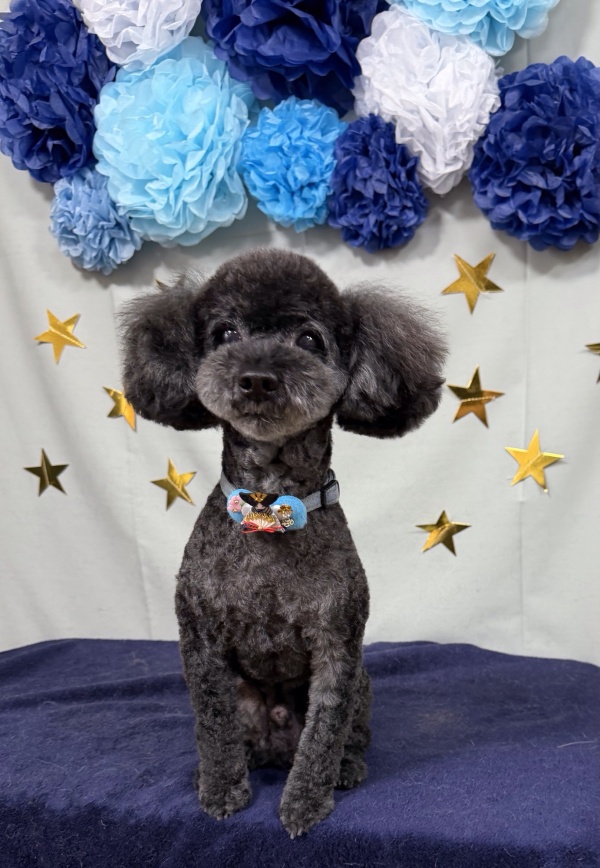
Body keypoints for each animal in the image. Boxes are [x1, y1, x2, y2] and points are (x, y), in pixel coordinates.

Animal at [121, 249, 446, 837]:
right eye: (226, 333)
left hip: (363, 684)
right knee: (234, 736)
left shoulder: (338, 647)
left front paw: (305, 804)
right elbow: (213, 728)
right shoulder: (201, 643)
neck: (268, 506)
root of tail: (274, 745)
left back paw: (347, 768)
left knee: (348, 735)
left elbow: (322, 735)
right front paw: (221, 791)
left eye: (310, 339)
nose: (256, 379)